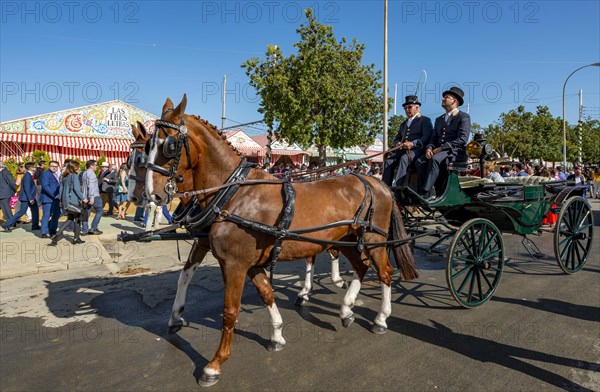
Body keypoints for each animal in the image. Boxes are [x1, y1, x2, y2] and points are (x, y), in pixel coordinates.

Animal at [146, 95, 418, 386]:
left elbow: (230, 310)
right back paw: (346, 310)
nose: (151, 194)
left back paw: (381, 318)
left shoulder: (234, 263)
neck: (233, 194)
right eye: (147, 144)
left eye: (169, 145)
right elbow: (265, 292)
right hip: (347, 240)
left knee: (385, 273)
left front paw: (215, 364)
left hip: (374, 241)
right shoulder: (248, 262)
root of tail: (376, 183)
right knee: (361, 267)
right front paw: (276, 334)